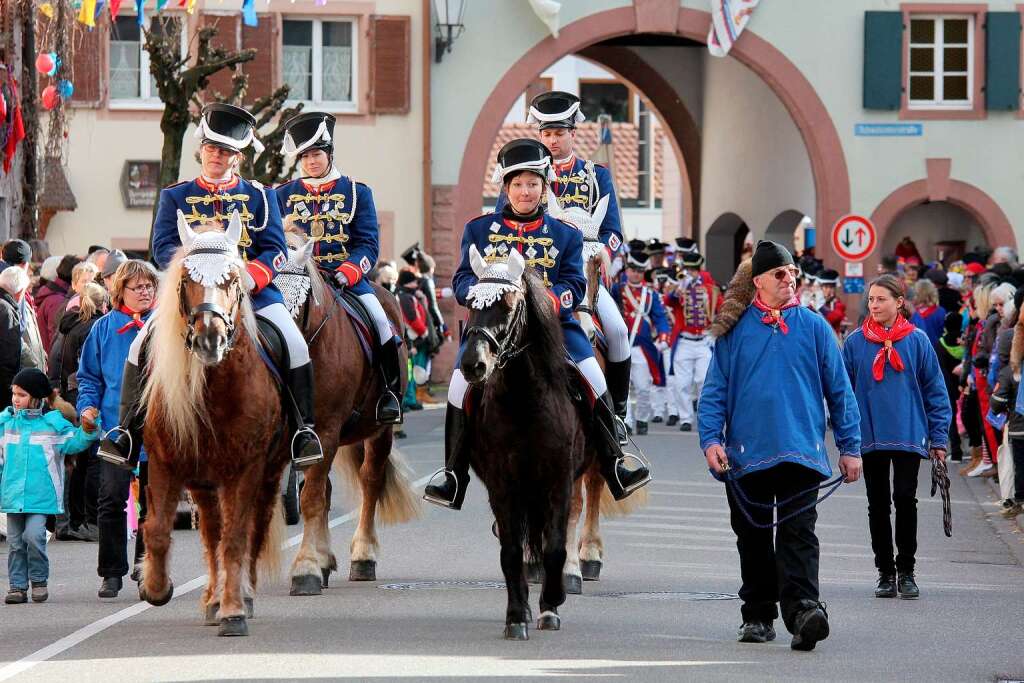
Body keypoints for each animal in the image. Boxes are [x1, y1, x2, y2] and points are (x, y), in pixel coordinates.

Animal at [460, 246, 589, 643]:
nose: (473, 364)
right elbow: (512, 551)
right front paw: (517, 615)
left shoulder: (559, 480)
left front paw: (551, 606)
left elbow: (555, 547)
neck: (524, 401)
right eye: (469, 301)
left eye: (508, 305)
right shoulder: (502, 485)